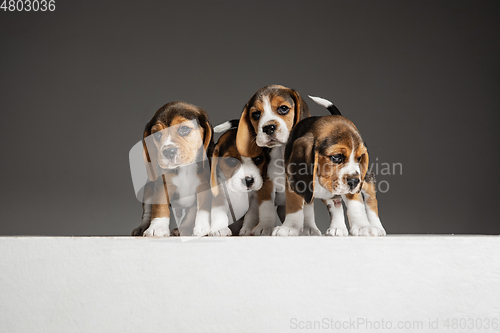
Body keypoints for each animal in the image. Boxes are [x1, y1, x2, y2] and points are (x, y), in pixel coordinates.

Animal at [131, 100, 213, 236]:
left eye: (184, 129)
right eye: (157, 135)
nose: (168, 151)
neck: (185, 168)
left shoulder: (204, 186)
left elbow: (203, 208)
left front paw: (202, 228)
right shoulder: (162, 185)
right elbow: (160, 206)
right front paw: (157, 228)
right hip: (148, 191)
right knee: (148, 211)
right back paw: (142, 228)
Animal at [233, 85, 308, 236]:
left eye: (283, 108)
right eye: (256, 114)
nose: (268, 127)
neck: (280, 153)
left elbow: (294, 204)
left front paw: (289, 227)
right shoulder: (265, 183)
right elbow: (266, 207)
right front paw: (264, 227)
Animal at [274, 96, 386, 236]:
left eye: (359, 158)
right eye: (337, 157)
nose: (354, 181)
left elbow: (355, 203)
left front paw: (362, 226)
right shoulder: (293, 181)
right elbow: (295, 204)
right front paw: (290, 227)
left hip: (366, 179)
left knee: (371, 201)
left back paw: (377, 227)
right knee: (334, 203)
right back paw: (335, 227)